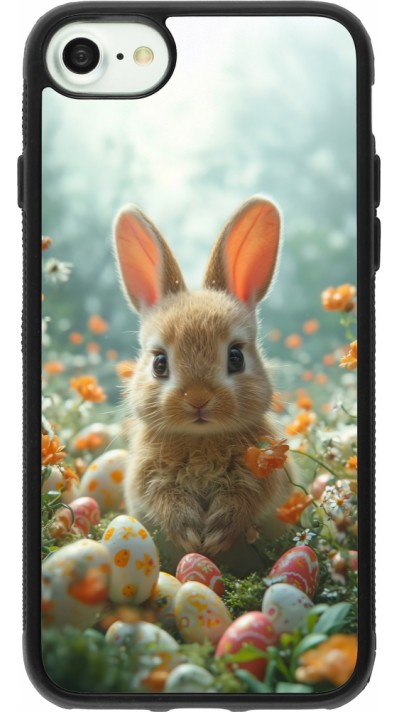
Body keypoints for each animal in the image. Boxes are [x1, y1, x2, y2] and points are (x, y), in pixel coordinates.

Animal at [113, 195, 293, 573]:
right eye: (159, 363)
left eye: (236, 357)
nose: (198, 399)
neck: (201, 438)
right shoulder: (148, 478)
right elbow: (164, 500)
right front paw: (191, 535)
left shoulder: (262, 475)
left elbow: (244, 500)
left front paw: (215, 535)